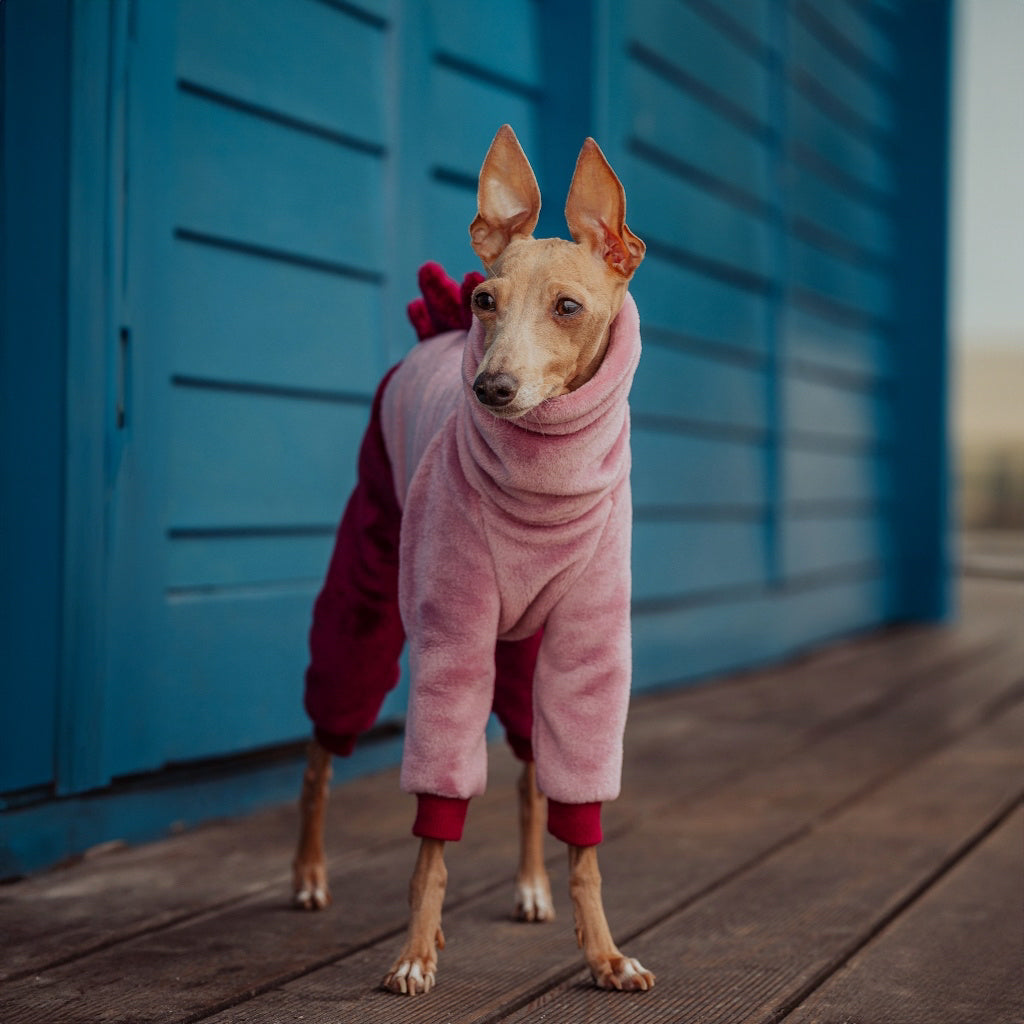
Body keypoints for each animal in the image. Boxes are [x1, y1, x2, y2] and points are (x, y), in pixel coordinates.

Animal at [292, 123, 651, 995]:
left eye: (568, 307)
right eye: (487, 302)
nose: (492, 387)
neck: (542, 485)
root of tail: (430, 336)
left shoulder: (587, 651)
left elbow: (577, 819)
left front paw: (604, 952)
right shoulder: (451, 639)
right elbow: (434, 830)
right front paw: (416, 951)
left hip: (523, 653)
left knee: (527, 772)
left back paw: (530, 886)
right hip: (366, 604)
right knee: (321, 751)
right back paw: (308, 876)